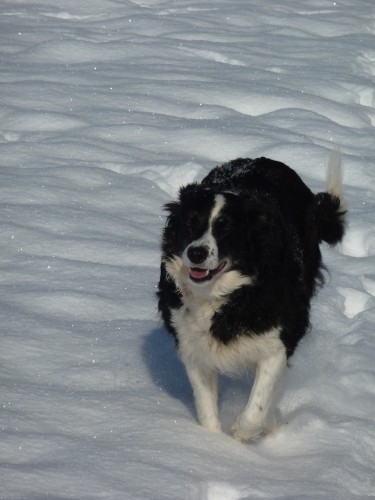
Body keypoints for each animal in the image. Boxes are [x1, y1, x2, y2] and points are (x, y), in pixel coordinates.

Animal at [156, 155, 346, 442]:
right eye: (190, 223)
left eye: (226, 228)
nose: (197, 253)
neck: (225, 295)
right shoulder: (191, 342)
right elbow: (206, 407)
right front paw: (210, 443)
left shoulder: (277, 342)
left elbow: (257, 407)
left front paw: (242, 434)